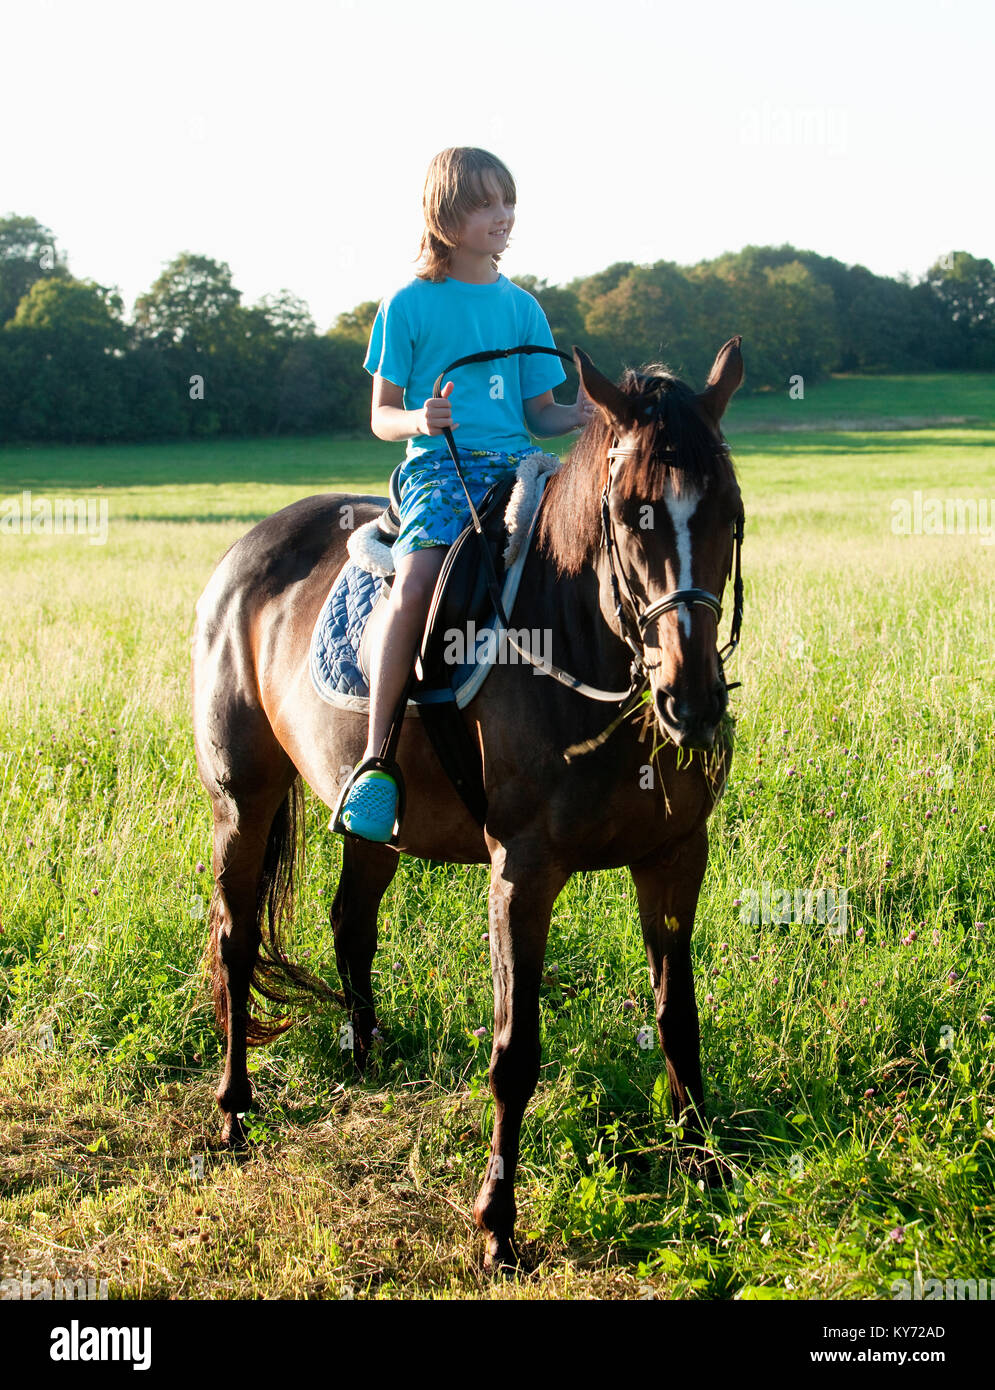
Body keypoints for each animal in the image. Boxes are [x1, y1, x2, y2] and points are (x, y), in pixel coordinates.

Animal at [190, 336, 744, 1273]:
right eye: (629, 515)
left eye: (729, 515)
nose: (692, 702)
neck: (579, 641)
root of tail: (243, 554)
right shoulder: (521, 872)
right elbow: (514, 1051)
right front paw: (497, 1224)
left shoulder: (674, 858)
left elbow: (679, 1022)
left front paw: (705, 1169)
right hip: (245, 796)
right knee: (234, 940)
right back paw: (232, 1110)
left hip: (368, 823)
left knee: (350, 920)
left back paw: (364, 1057)